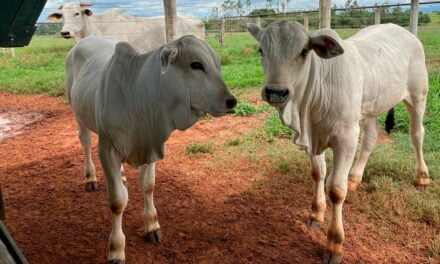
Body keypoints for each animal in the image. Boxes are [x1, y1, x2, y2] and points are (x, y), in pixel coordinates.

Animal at [248, 20, 430, 264]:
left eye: (303, 51)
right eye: (261, 50)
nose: (276, 92)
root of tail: (403, 31)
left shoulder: (346, 138)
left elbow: (335, 189)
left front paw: (334, 244)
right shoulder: (312, 137)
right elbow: (318, 173)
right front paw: (316, 213)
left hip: (418, 95)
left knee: (417, 133)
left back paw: (422, 176)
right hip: (369, 110)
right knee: (371, 138)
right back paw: (354, 178)